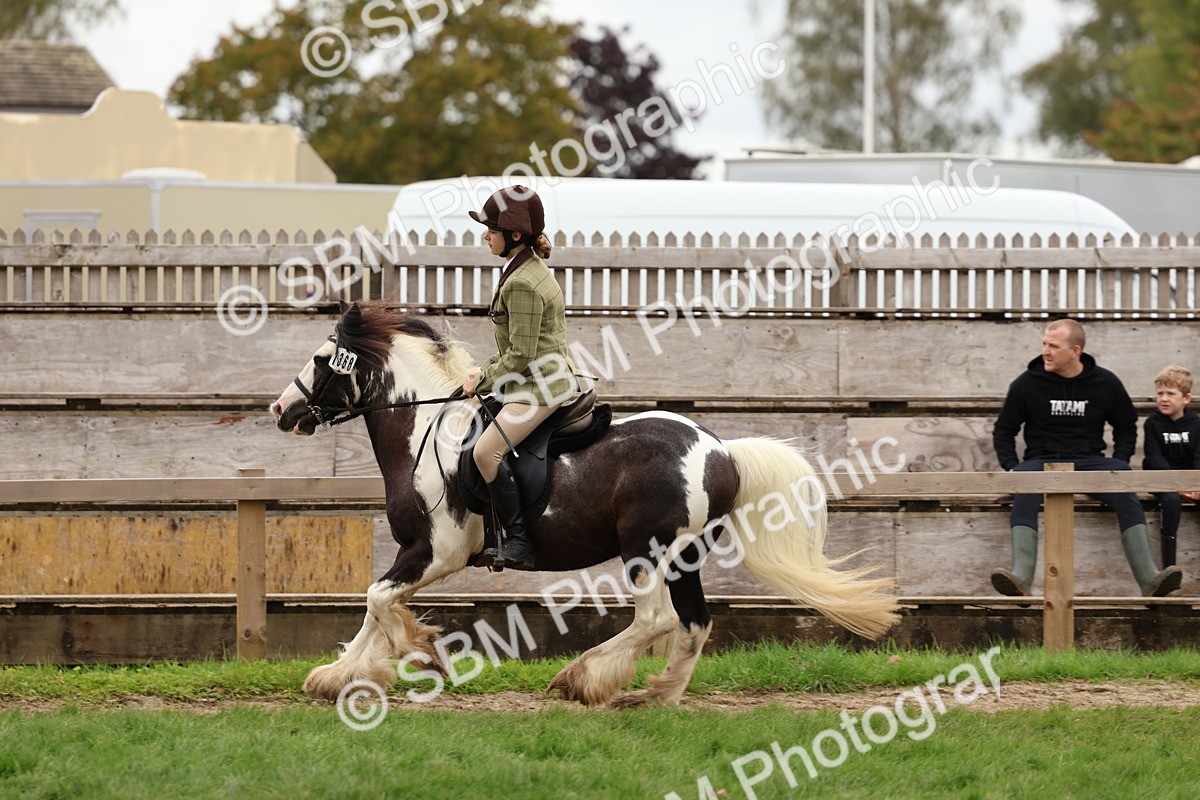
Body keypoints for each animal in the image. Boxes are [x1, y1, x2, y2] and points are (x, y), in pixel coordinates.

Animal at [270, 300, 899, 707]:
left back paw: (584, 680)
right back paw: (654, 695)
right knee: (693, 624)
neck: (425, 429)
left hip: (647, 551)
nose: (281, 410)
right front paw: (339, 675)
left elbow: (378, 601)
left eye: (322, 360)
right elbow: (373, 606)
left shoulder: (434, 553)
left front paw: (419, 656)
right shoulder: (413, 554)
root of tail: (722, 451)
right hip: (684, 559)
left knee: (657, 619)